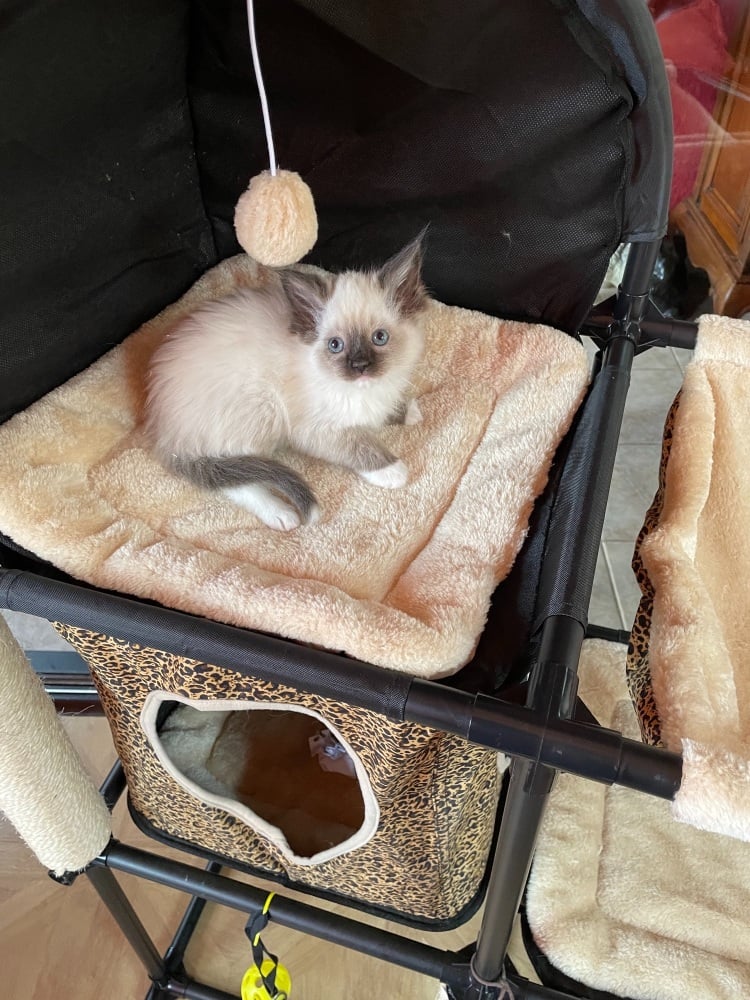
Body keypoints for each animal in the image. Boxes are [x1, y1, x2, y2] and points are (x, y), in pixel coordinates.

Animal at [145, 234, 428, 532]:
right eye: (336, 345)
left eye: (379, 338)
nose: (360, 366)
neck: (366, 390)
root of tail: (161, 431)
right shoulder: (313, 430)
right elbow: (358, 444)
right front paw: (391, 470)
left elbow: (384, 411)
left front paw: (408, 412)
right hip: (264, 407)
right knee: (236, 481)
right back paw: (281, 514)